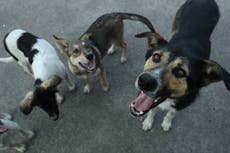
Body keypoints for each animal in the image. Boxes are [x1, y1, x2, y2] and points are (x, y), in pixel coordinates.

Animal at [129, 0, 230, 131]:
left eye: (180, 72)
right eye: (156, 57)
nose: (145, 81)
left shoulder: (182, 104)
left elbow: (171, 113)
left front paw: (166, 123)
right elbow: (151, 110)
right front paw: (148, 121)